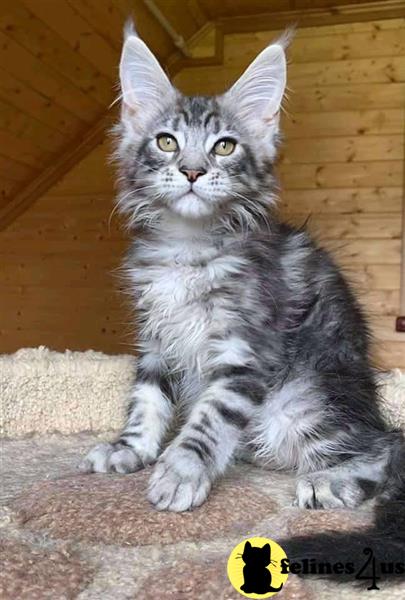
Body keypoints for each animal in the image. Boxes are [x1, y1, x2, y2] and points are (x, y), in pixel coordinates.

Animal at [79, 24, 404, 524]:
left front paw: (181, 471)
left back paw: (331, 479)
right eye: (167, 142)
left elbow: (211, 417)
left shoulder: (247, 347)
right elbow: (146, 399)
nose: (192, 171)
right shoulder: (156, 336)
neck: (189, 245)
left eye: (225, 146)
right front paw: (129, 449)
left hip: (306, 398)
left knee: (382, 447)